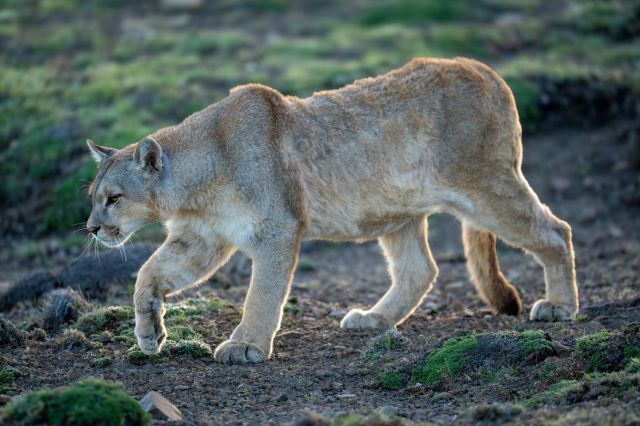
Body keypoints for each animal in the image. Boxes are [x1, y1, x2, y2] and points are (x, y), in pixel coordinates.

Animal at [85, 57, 578, 364]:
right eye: (93, 196)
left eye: (114, 198)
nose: (91, 228)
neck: (196, 181)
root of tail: (482, 67)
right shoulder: (203, 238)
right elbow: (149, 272)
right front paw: (149, 331)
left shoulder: (278, 228)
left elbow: (262, 293)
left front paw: (245, 346)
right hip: (401, 210)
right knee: (420, 270)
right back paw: (375, 319)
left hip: (486, 188)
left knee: (556, 229)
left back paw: (559, 306)